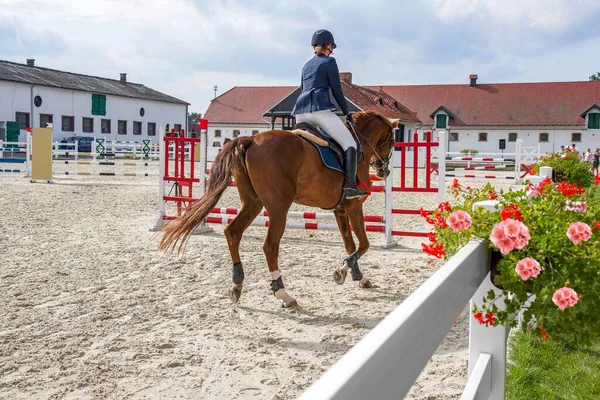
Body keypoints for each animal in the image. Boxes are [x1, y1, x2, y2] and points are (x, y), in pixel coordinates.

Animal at [157, 111, 396, 308]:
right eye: (392, 140)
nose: (384, 171)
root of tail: (252, 140)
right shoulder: (354, 206)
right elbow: (364, 244)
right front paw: (344, 271)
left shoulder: (340, 209)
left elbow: (350, 244)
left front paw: (358, 276)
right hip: (279, 208)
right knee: (270, 246)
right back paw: (284, 294)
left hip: (253, 203)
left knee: (233, 232)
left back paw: (237, 284)